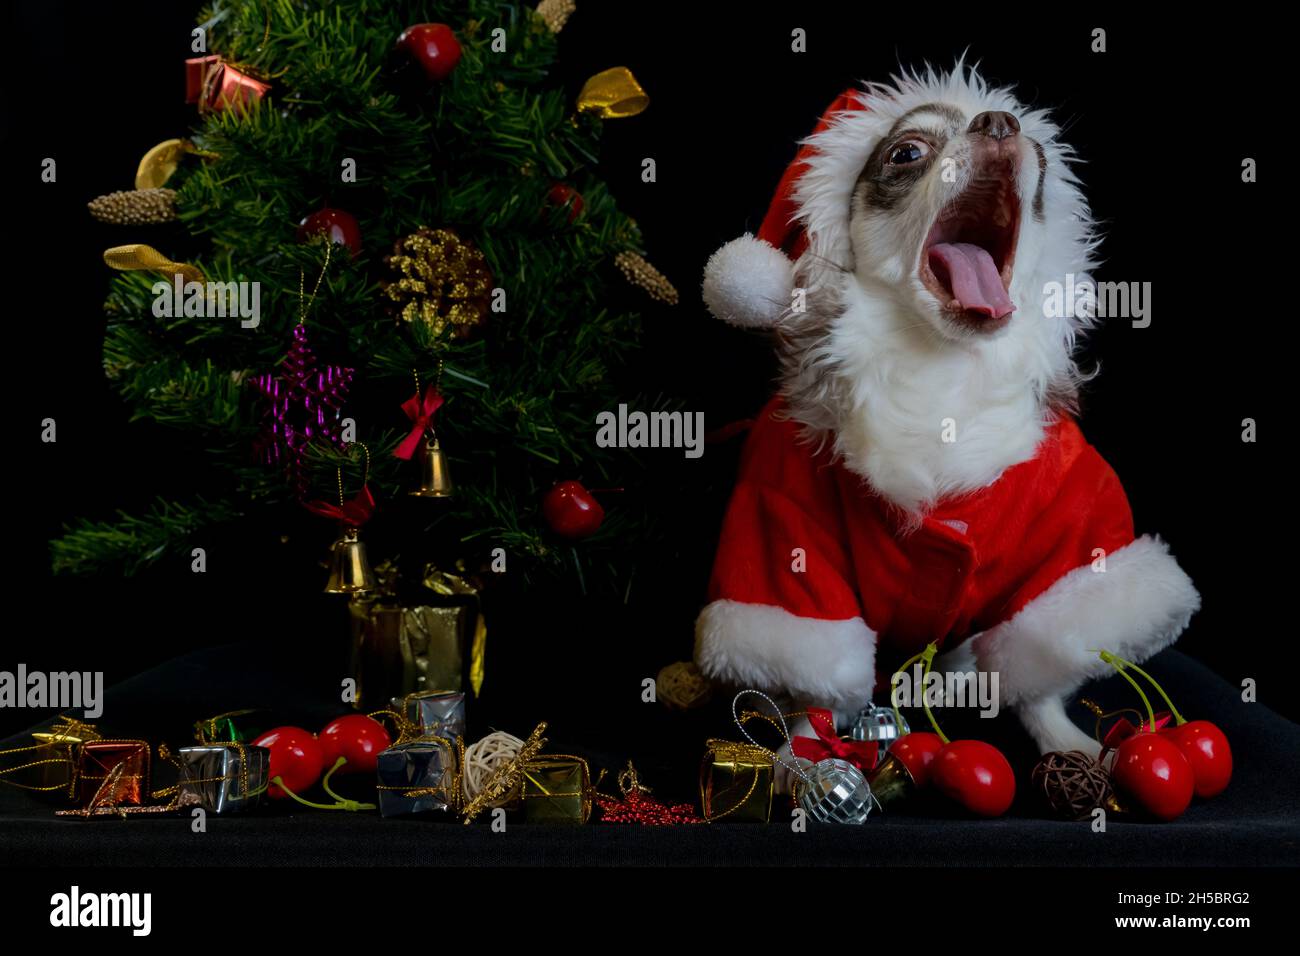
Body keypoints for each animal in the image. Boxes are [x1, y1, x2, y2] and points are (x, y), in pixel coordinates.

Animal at [691, 59, 1196, 785]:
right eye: (906, 153)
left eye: (1043, 160)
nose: (1001, 121)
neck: (942, 370)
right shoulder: (783, 530)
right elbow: (815, 677)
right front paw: (803, 751)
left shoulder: (1071, 529)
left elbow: (1041, 669)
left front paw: (1062, 738)